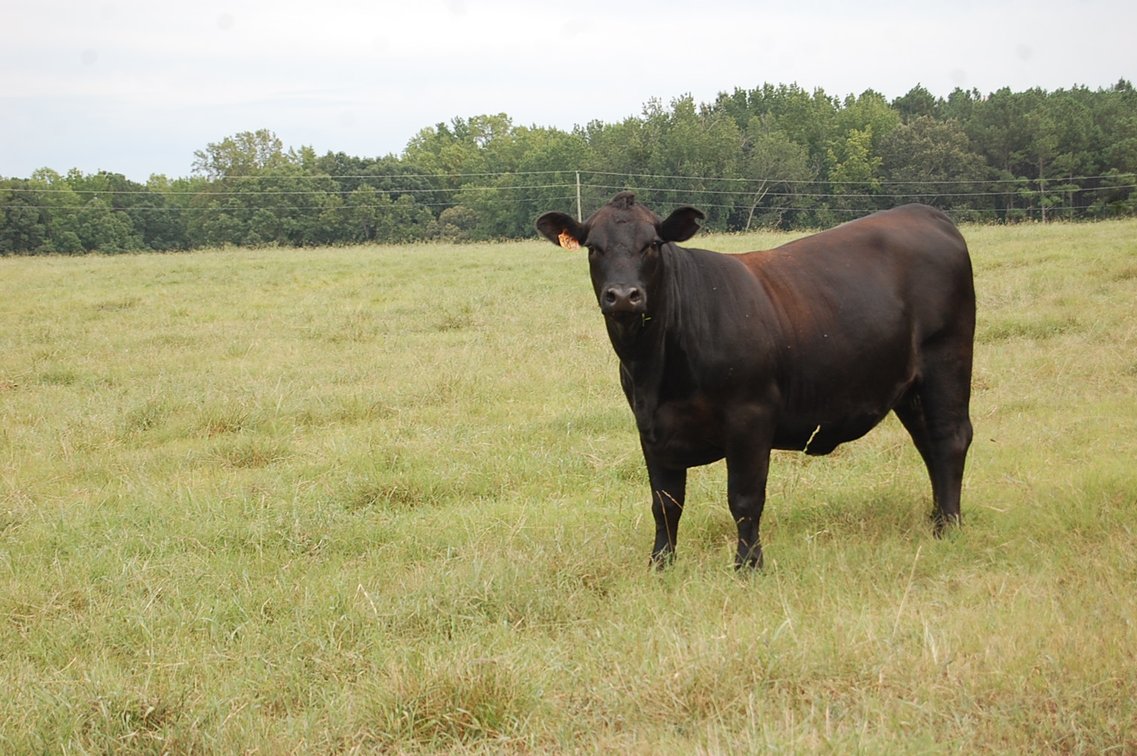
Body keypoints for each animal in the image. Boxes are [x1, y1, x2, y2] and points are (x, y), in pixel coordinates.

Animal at [536, 192, 975, 570]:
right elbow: (665, 502)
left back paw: (949, 528)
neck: (656, 370)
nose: (625, 295)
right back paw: (936, 519)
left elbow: (745, 499)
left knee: (948, 438)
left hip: (946, 362)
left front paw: (748, 565)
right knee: (927, 444)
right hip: (910, 388)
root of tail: (925, 213)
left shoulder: (750, 417)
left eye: (653, 244)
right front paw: (660, 565)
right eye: (594, 247)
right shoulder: (650, 428)